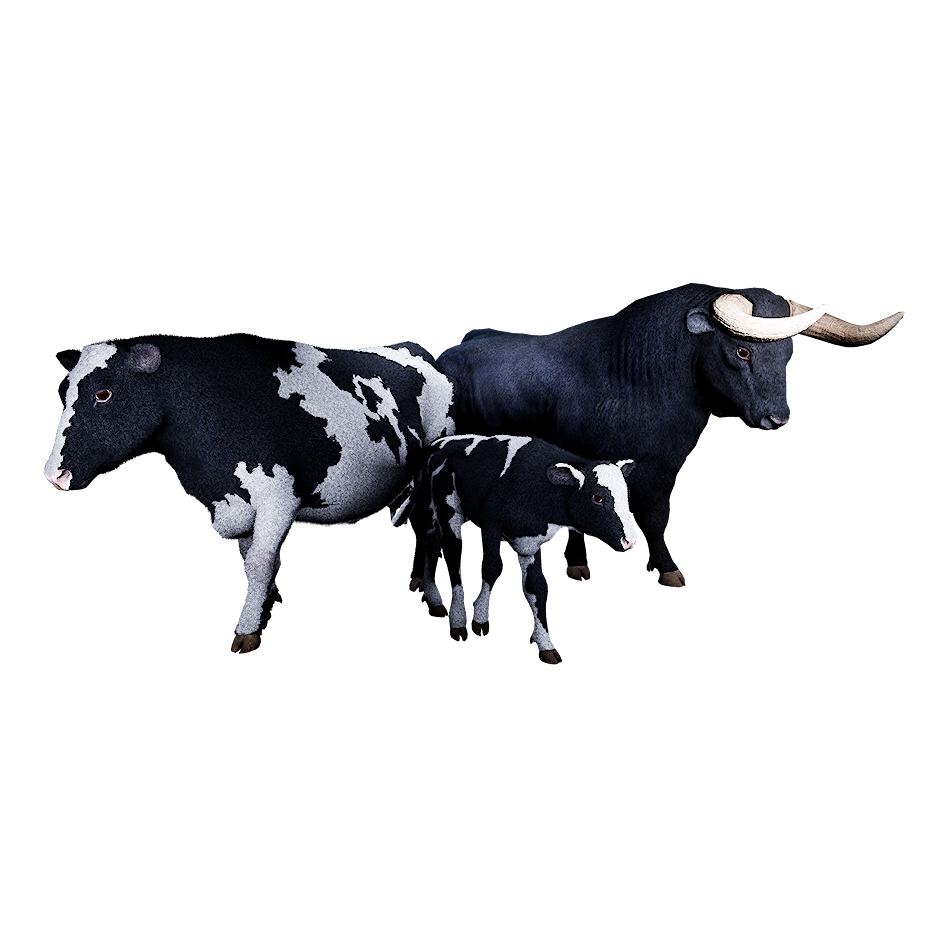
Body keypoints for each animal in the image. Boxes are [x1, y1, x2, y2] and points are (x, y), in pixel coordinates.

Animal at [44, 333, 456, 660]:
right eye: (65, 393)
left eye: (103, 394)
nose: (53, 474)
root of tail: (416, 348)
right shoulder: (234, 499)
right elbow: (249, 557)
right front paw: (266, 605)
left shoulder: (279, 496)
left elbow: (258, 561)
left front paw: (247, 630)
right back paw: (418, 579)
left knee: (429, 524)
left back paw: (432, 593)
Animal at [411, 286, 902, 604]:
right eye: (742, 351)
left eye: (785, 355)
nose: (777, 417)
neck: (639, 380)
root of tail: (447, 355)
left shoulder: (659, 470)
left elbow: (652, 515)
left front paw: (659, 570)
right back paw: (421, 580)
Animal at [415, 435, 640, 665]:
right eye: (597, 498)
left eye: (627, 494)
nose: (633, 540)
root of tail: (441, 441)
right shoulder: (490, 524)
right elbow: (494, 571)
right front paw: (478, 619)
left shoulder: (528, 544)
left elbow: (536, 588)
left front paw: (545, 645)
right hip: (447, 510)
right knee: (448, 556)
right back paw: (457, 620)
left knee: (430, 541)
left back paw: (434, 600)